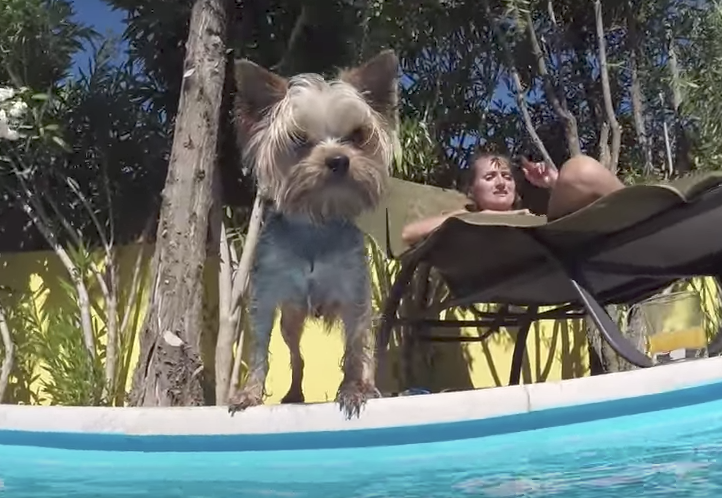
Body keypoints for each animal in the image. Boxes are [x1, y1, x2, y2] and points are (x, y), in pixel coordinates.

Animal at [228, 50, 396, 418]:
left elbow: (354, 351)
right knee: (296, 355)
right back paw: (294, 392)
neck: (317, 223)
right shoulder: (266, 297)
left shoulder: (354, 297)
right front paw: (249, 394)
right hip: (291, 322)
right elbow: (259, 350)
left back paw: (369, 386)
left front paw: (353, 390)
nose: (338, 160)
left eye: (357, 135)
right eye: (299, 140)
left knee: (365, 350)